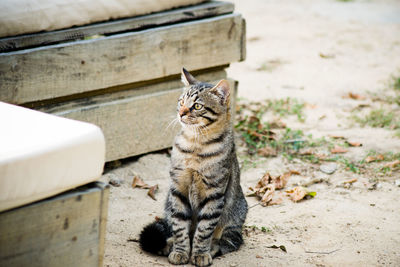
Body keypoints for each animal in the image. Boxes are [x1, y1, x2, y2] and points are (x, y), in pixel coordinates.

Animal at [140, 68, 247, 266]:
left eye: (197, 106)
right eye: (181, 101)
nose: (181, 113)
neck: (196, 145)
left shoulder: (214, 193)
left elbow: (204, 230)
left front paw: (200, 253)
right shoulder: (178, 189)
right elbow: (180, 227)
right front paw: (180, 251)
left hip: (234, 217)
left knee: (226, 241)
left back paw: (212, 248)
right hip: (168, 203)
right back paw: (168, 245)